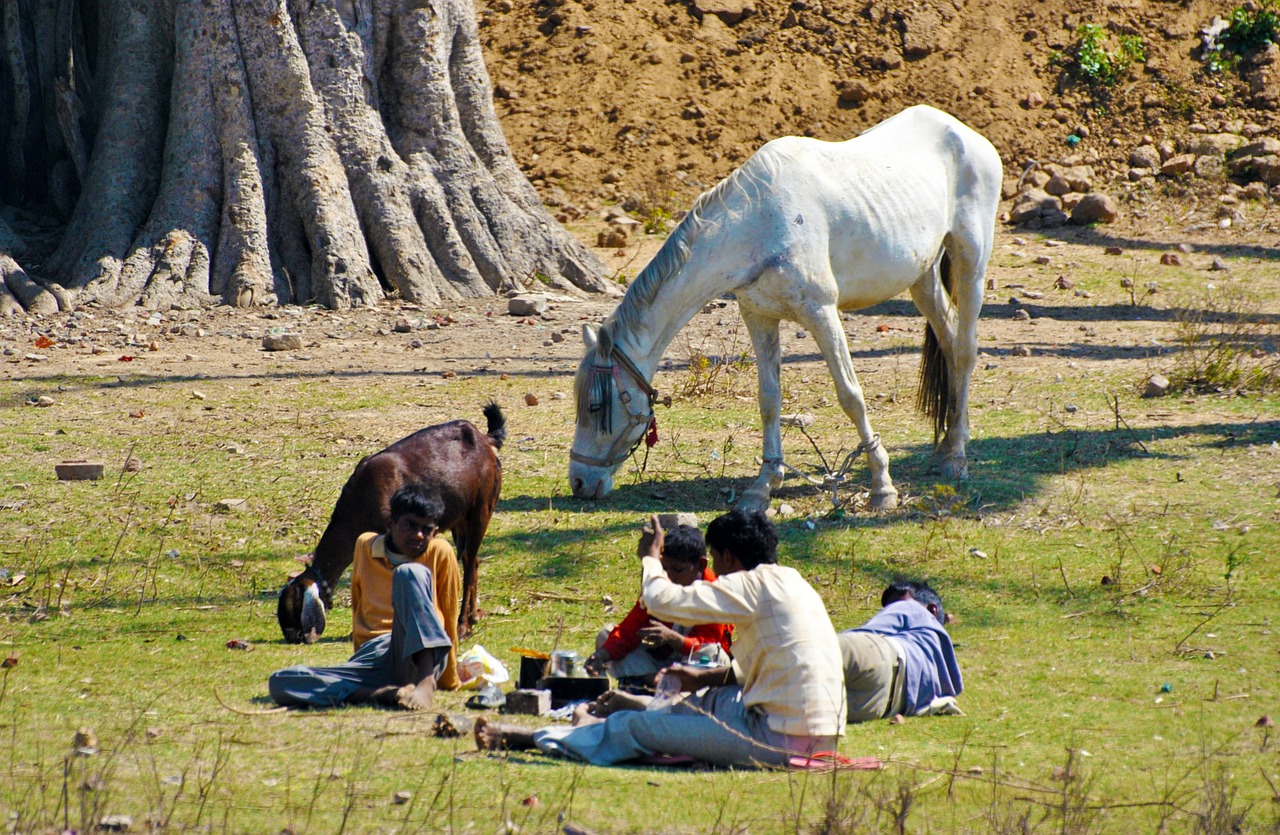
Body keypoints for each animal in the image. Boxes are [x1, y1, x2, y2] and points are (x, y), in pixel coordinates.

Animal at [568, 104, 998, 509]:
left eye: (595, 406)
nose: (579, 483)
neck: (759, 223)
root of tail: (965, 134)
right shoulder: (759, 317)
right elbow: (769, 400)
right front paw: (764, 484)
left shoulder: (822, 313)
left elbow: (850, 395)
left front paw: (882, 485)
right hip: (921, 276)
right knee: (947, 339)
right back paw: (947, 444)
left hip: (971, 260)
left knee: (964, 349)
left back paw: (957, 457)